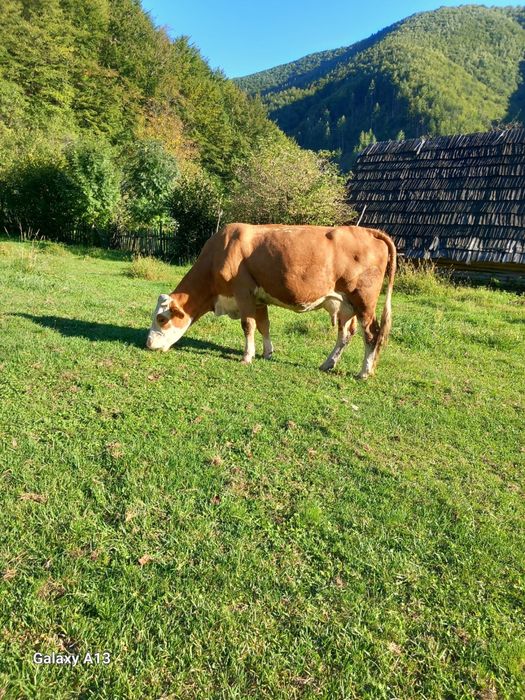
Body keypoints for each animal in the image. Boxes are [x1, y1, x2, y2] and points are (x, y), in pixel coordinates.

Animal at [146, 223, 396, 378]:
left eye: (162, 318)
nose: (148, 344)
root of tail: (368, 231)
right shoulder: (259, 298)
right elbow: (264, 325)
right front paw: (267, 352)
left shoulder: (243, 292)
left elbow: (248, 325)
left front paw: (247, 356)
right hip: (344, 304)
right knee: (345, 334)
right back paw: (328, 364)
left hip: (364, 302)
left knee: (371, 334)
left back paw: (364, 372)